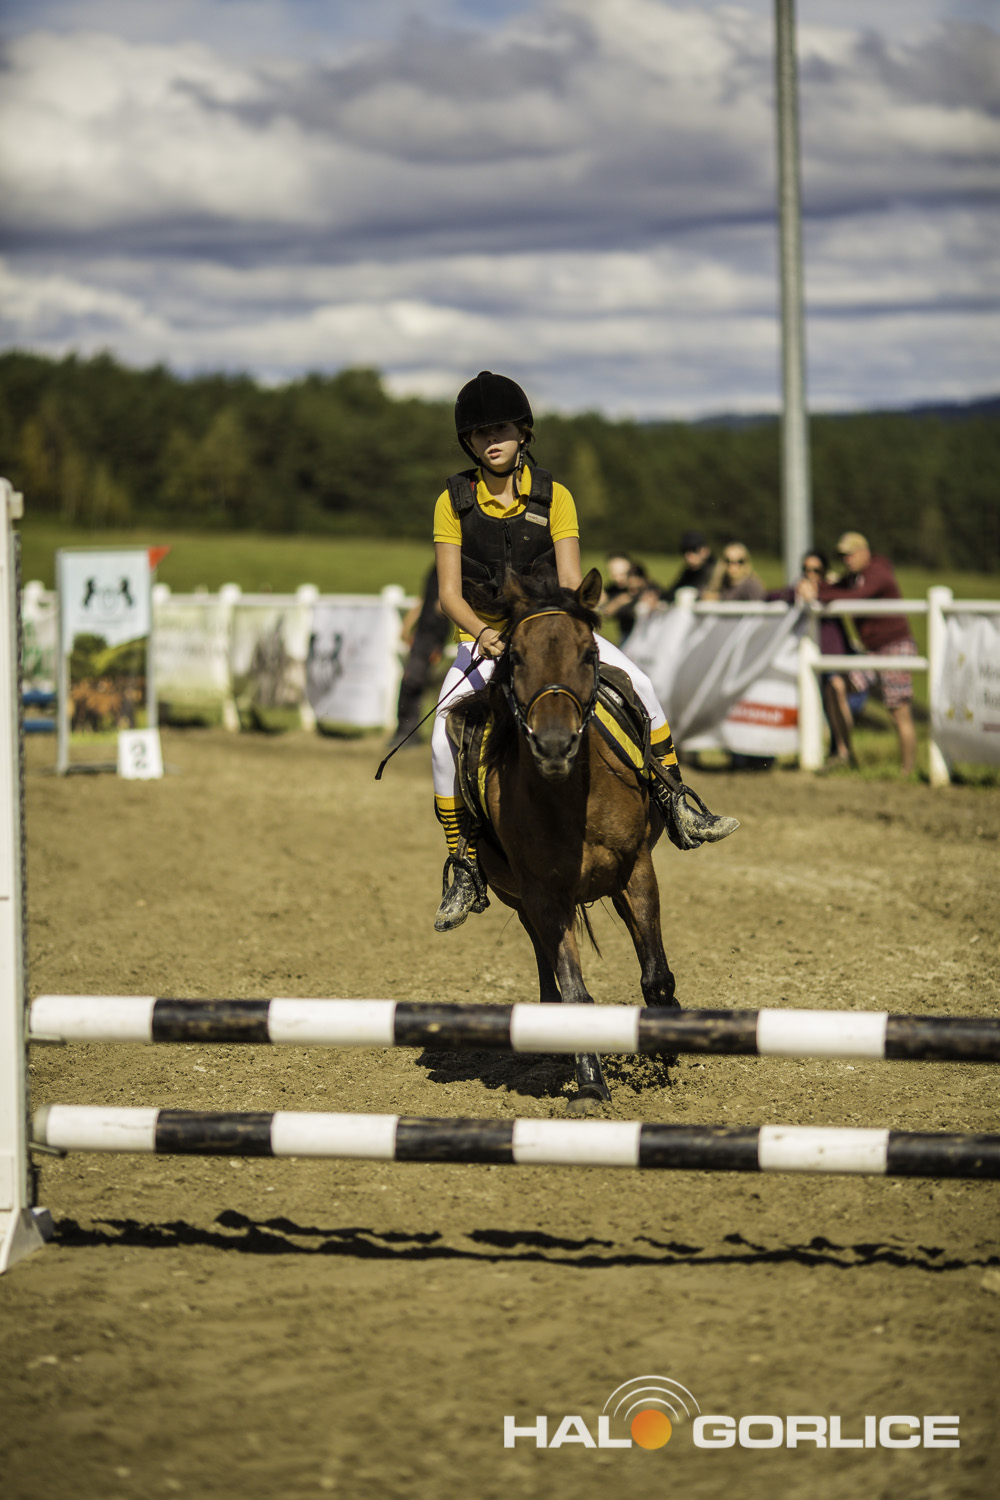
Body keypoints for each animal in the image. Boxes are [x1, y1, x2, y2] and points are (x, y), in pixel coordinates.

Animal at [448, 568, 679, 1105]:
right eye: (515, 657)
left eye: (588, 654)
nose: (554, 745)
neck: (569, 800)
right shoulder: (543, 895)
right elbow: (574, 989)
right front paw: (590, 1084)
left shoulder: (636, 870)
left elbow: (656, 973)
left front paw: (668, 1050)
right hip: (520, 899)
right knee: (546, 967)